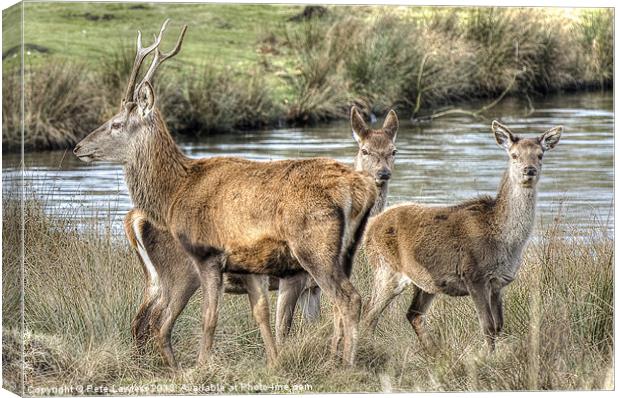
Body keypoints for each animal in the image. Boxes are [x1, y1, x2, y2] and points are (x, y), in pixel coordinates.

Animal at [72, 19, 372, 366]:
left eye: (117, 123)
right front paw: (272, 364)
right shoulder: (246, 266)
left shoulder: (208, 253)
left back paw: (347, 364)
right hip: (345, 251)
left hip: (312, 248)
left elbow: (210, 318)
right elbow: (262, 315)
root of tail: (360, 188)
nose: (77, 147)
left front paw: (203, 367)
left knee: (349, 299)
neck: (176, 190)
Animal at [364, 120, 560, 348]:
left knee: (413, 314)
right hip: (386, 268)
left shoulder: (498, 283)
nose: (529, 170)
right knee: (369, 314)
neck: (505, 242)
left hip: (425, 282)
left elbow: (499, 326)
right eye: (514, 155)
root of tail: (371, 226)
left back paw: (435, 351)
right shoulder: (474, 276)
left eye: (540, 154)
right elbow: (488, 327)